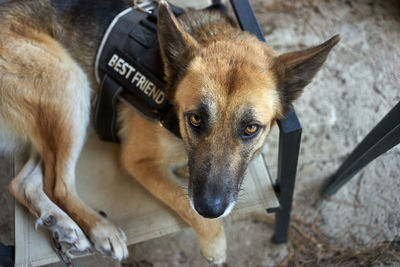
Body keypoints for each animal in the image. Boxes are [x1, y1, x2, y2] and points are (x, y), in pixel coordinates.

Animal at [0, 0, 340, 264]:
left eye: (251, 128)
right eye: (195, 119)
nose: (211, 207)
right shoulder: (139, 162)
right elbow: (185, 203)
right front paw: (215, 241)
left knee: (23, 183)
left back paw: (63, 224)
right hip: (71, 84)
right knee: (57, 185)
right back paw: (100, 229)